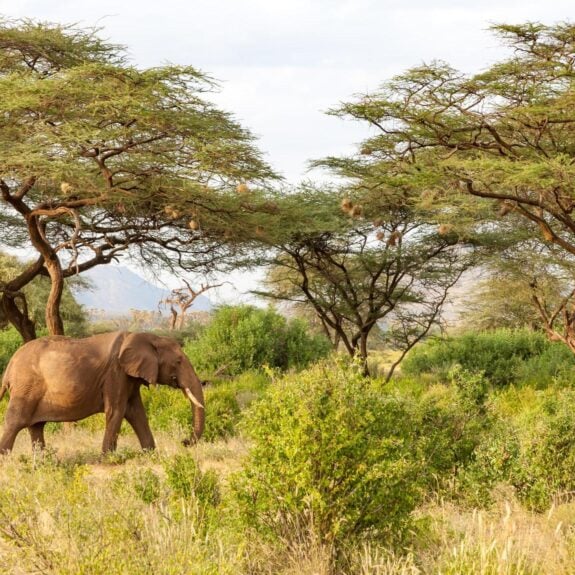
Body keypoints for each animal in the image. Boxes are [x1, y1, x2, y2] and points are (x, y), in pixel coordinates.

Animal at [0, 332, 206, 454]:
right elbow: (117, 411)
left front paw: (150, 454)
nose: (184, 441)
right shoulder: (116, 373)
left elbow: (137, 413)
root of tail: (9, 366)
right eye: (178, 361)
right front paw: (108, 458)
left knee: (36, 426)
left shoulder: (128, 378)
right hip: (26, 387)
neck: (146, 336)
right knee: (15, 422)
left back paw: (43, 462)